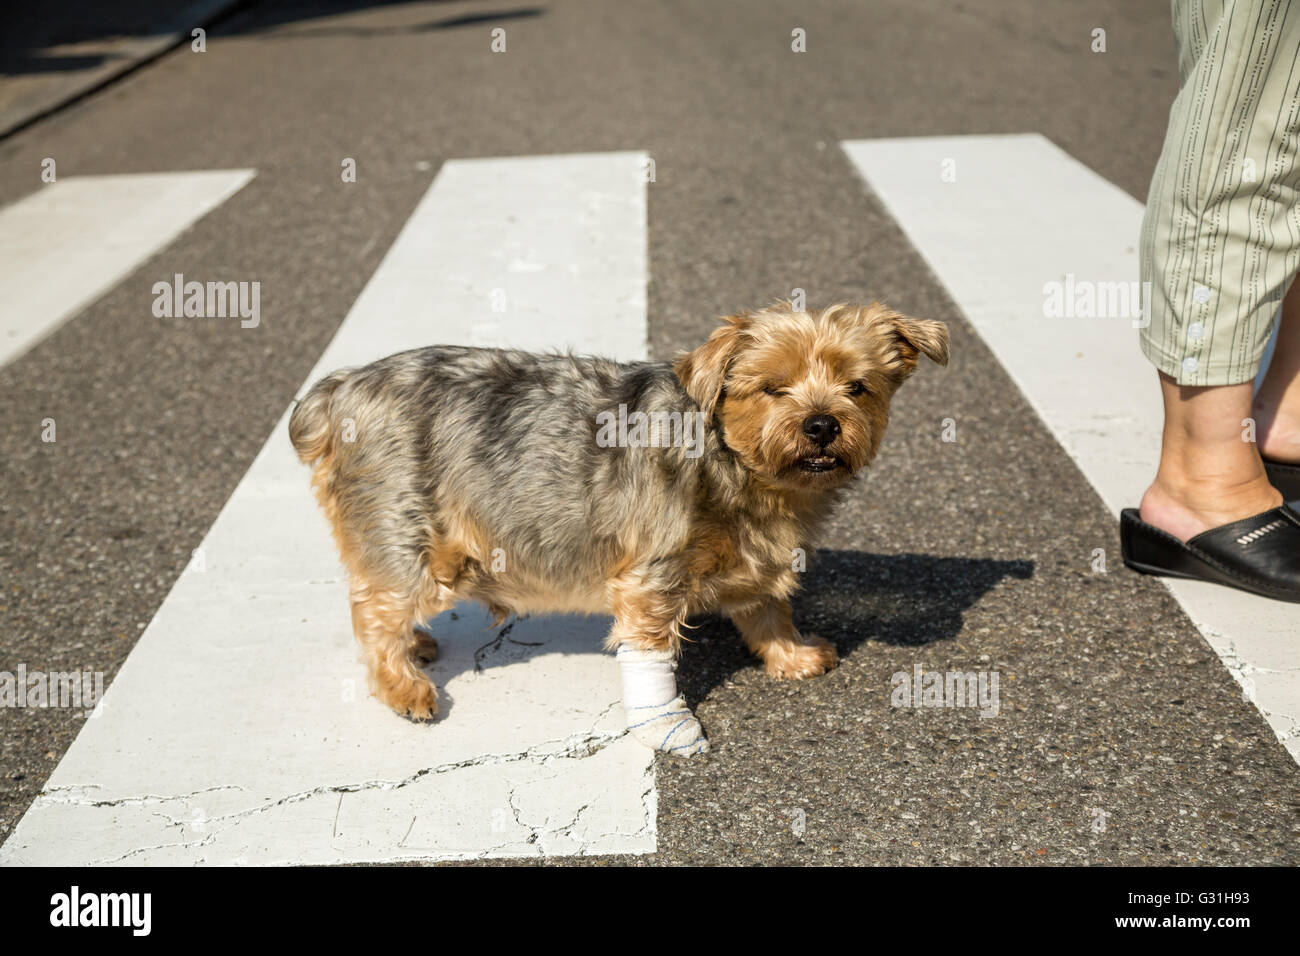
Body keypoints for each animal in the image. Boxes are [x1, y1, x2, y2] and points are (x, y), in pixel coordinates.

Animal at [292, 303, 946, 749]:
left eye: (857, 386)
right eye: (771, 387)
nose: (821, 425)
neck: (744, 469)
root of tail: (338, 390)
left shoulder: (755, 554)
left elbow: (766, 606)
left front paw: (789, 654)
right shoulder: (652, 572)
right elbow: (651, 645)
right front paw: (670, 726)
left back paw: (417, 647)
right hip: (409, 529)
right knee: (375, 608)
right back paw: (403, 684)